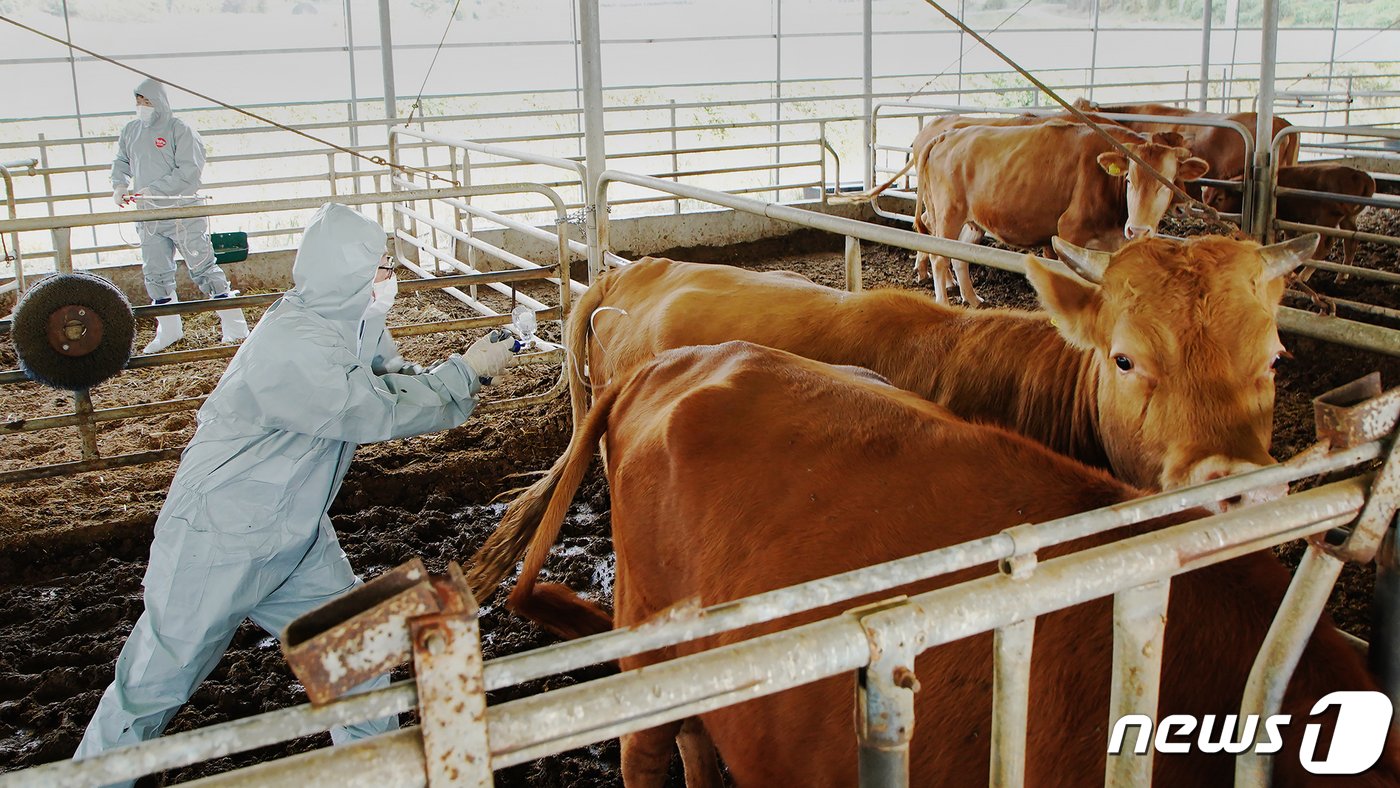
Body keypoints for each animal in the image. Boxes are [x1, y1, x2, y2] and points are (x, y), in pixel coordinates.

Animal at [912, 120, 1209, 307]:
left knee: (960, 254)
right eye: (1128, 179)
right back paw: (943, 302)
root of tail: (949, 134)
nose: (1137, 230)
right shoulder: (1070, 231)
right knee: (939, 257)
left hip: (974, 220)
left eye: (1167, 182)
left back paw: (972, 299)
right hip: (948, 212)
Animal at [1204, 165, 1377, 278]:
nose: (1206, 214)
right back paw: (1342, 276)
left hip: (1326, 219)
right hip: (1348, 219)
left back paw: (1304, 275)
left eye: (1219, 198)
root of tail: (1361, 175)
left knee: (1325, 245)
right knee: (1351, 242)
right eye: (1205, 196)